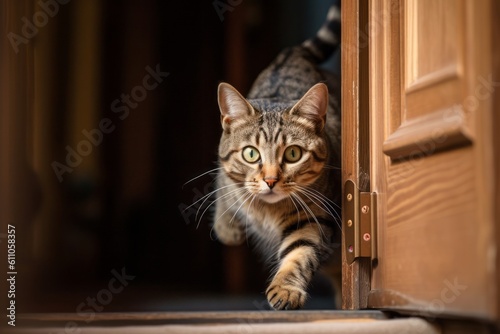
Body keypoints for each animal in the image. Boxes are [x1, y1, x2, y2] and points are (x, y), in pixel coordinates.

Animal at [213, 2, 342, 310]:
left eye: (293, 154)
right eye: (250, 154)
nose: (270, 180)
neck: (266, 212)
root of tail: (293, 53)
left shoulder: (313, 218)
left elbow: (299, 253)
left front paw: (285, 289)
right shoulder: (225, 174)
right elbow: (223, 183)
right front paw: (227, 228)